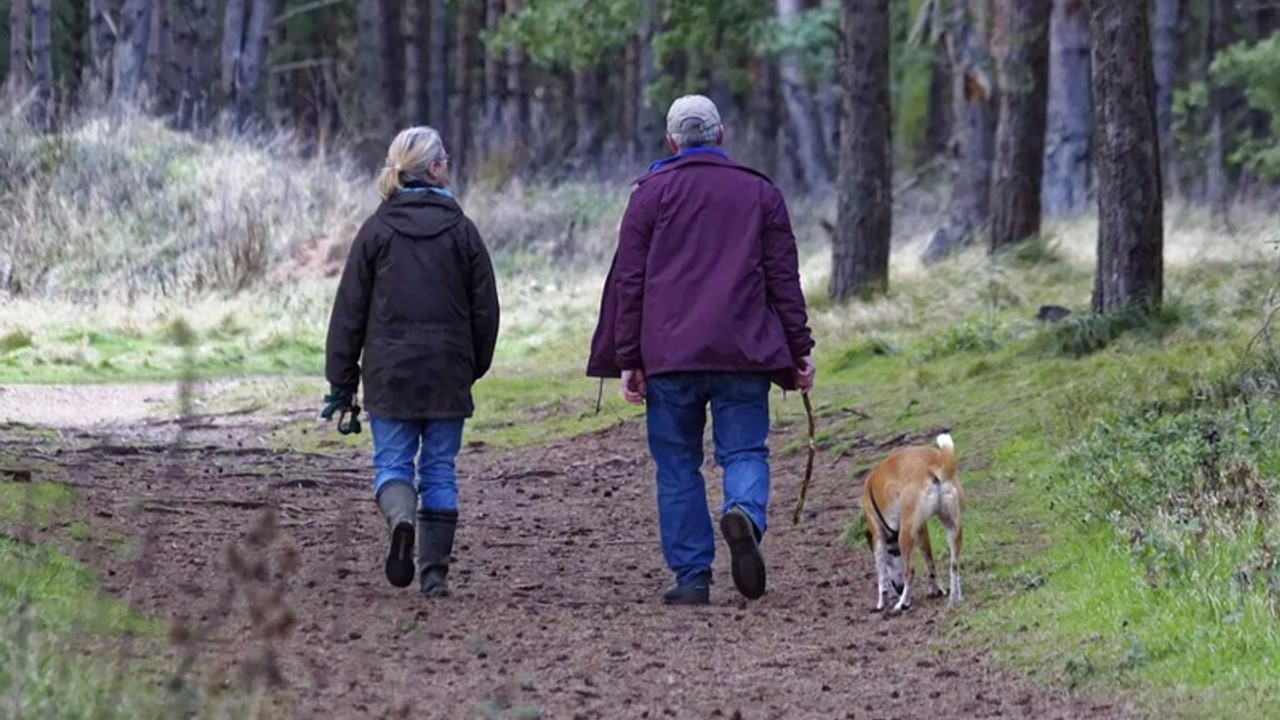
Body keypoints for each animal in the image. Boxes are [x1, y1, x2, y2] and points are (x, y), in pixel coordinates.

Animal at [860, 430, 962, 609]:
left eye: (892, 555)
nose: (899, 589)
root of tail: (932, 466)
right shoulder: (921, 528)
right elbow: (930, 562)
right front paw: (936, 589)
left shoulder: (878, 536)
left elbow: (881, 575)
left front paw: (881, 602)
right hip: (953, 528)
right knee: (954, 565)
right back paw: (955, 598)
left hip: (906, 535)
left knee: (910, 571)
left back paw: (902, 603)